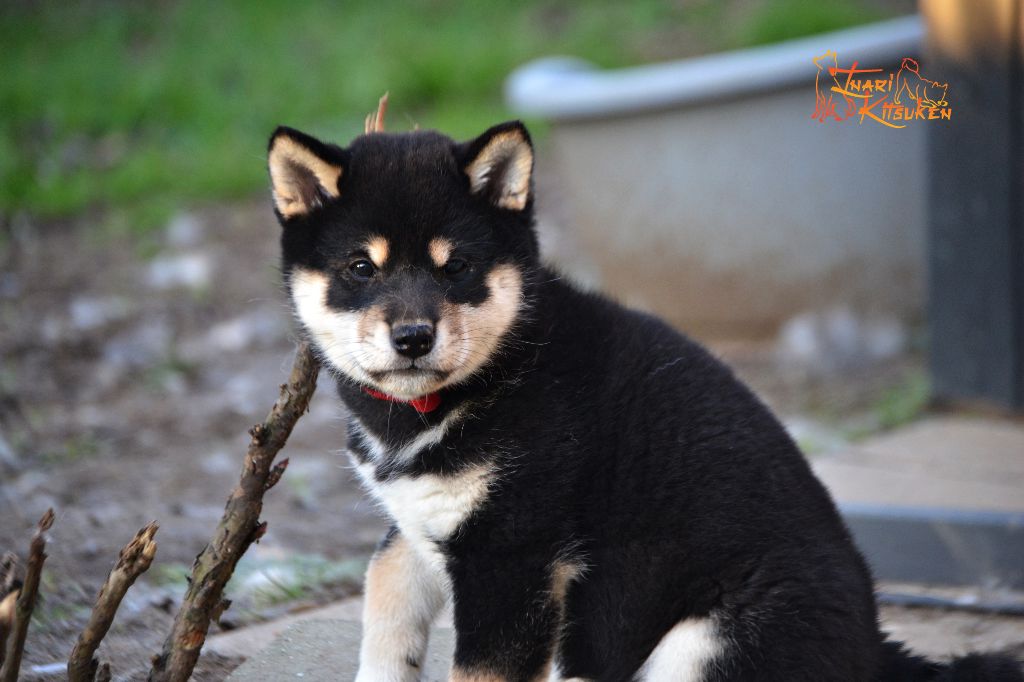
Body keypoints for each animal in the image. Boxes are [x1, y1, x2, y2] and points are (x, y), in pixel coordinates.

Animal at [266, 122, 1024, 679]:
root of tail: (877, 651)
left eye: (458, 268)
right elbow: (383, 596)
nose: (414, 337)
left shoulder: (513, 557)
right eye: (361, 268)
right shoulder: (423, 525)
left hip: (705, 644)